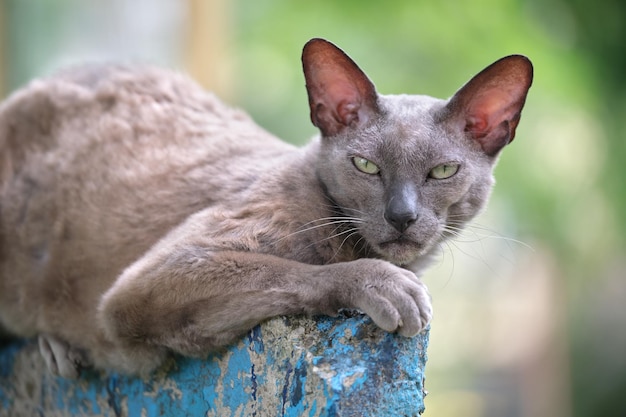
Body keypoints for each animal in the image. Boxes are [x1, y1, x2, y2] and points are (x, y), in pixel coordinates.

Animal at [0, 39, 532, 376]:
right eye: (366, 165)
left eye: (442, 171)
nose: (401, 216)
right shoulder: (141, 286)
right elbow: (290, 271)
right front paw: (387, 287)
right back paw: (55, 348)